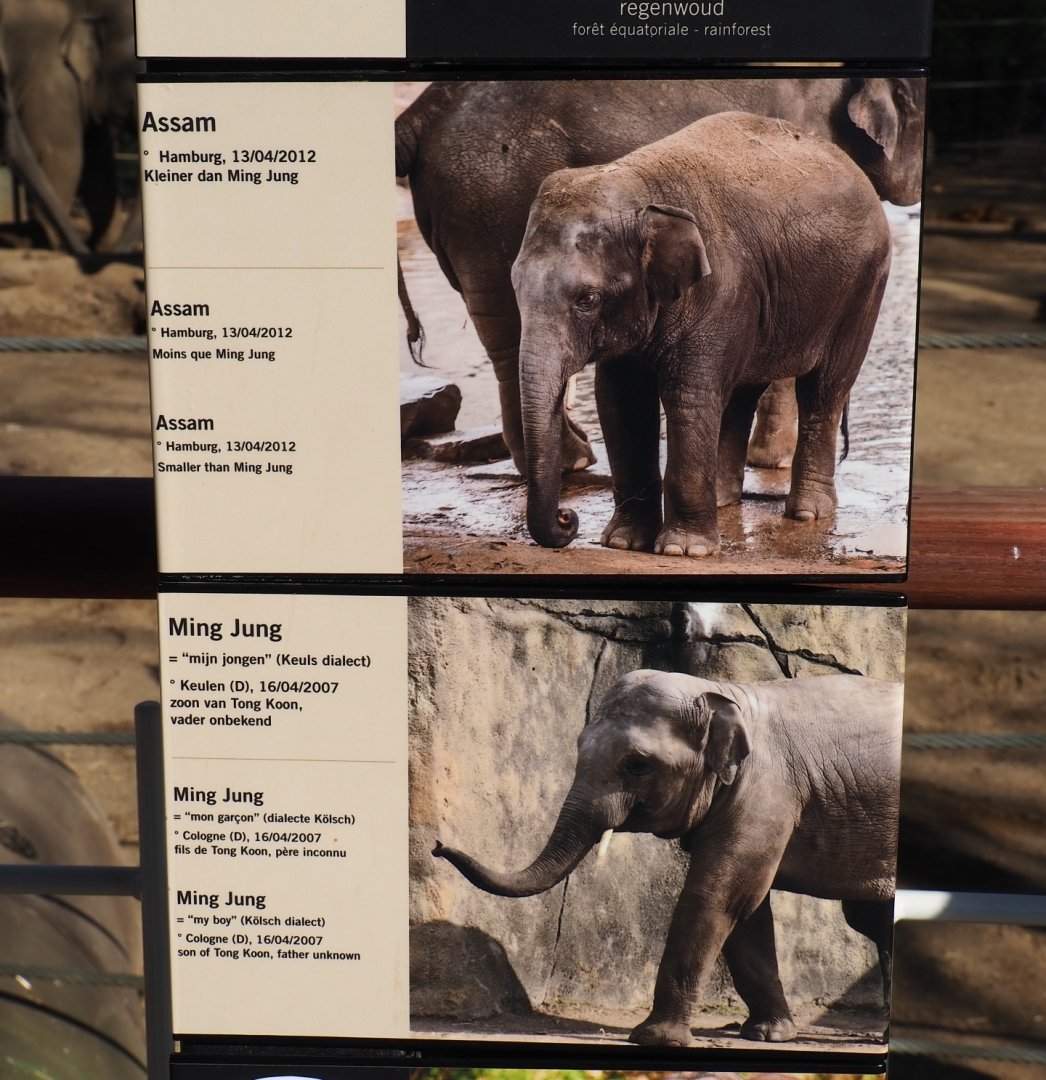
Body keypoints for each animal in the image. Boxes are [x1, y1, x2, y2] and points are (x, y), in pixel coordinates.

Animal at [0, 0, 139, 252]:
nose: (119, 250)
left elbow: (97, 166)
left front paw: (102, 245)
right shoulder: (51, 77)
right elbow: (63, 156)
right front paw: (52, 242)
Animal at [434, 668, 902, 1048]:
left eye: (637, 765)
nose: (437, 846)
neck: (724, 693)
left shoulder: (768, 792)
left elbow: (720, 896)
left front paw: (655, 1039)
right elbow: (747, 907)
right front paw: (768, 1034)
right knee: (869, 917)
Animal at [511, 111, 891, 555]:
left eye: (587, 299)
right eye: (515, 284)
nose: (567, 518)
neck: (637, 182)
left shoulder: (720, 289)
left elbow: (688, 395)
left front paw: (683, 549)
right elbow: (620, 401)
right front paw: (623, 543)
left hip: (863, 287)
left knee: (824, 388)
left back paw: (808, 513)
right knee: (742, 392)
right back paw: (725, 499)